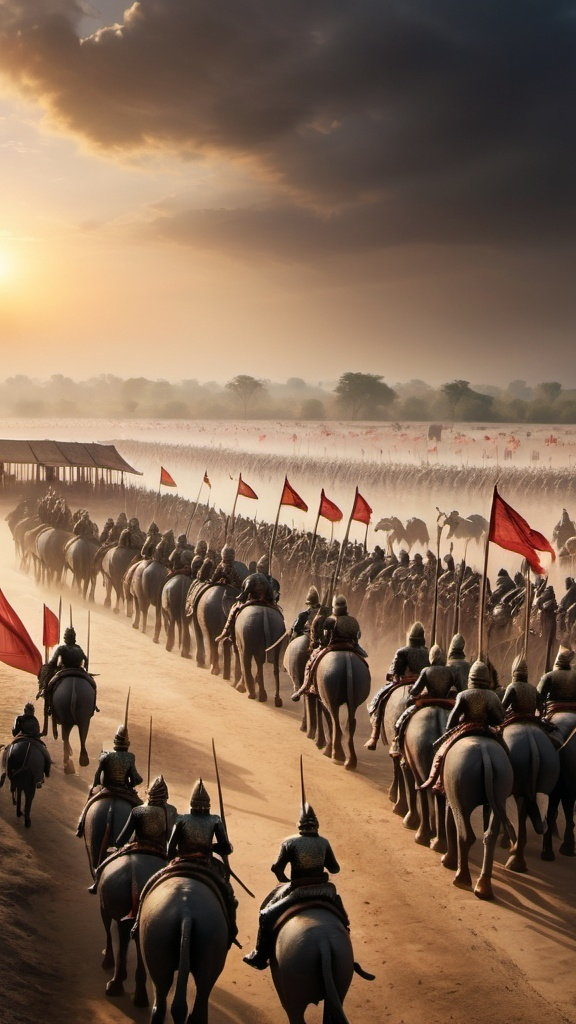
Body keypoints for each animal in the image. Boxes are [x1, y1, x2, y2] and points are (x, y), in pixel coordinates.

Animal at [97, 851, 165, 1003]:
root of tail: (135, 877)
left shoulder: (104, 907)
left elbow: (109, 932)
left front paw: (107, 961)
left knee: (124, 939)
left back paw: (116, 985)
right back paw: (140, 995)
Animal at [436, 737, 512, 897]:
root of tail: (486, 754)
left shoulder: (451, 789)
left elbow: (450, 820)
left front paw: (447, 861)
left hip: (460, 778)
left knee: (465, 832)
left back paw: (461, 879)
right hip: (502, 781)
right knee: (490, 834)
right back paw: (483, 888)